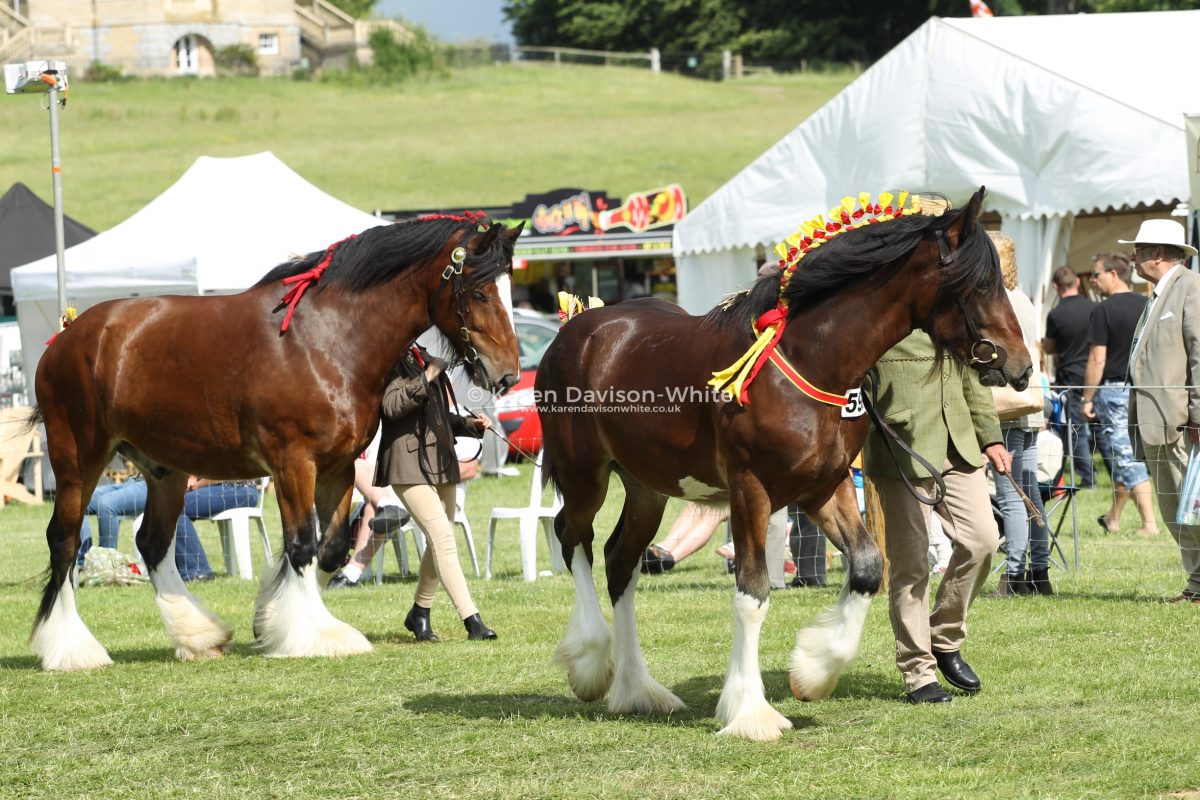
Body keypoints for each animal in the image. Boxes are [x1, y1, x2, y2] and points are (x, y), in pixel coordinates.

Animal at [29, 214, 524, 671]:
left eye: (509, 289)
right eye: (479, 293)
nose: (507, 374)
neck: (327, 338)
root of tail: (68, 336)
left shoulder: (339, 467)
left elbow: (332, 548)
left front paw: (270, 618)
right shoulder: (293, 463)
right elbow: (302, 544)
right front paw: (311, 635)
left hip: (164, 469)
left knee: (152, 543)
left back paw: (197, 636)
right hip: (79, 461)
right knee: (65, 541)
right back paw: (73, 649)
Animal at [536, 187, 1032, 740]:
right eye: (982, 283)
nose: (1020, 366)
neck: (807, 358)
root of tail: (576, 328)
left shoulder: (825, 487)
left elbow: (867, 567)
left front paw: (813, 671)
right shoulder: (750, 490)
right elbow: (752, 593)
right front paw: (751, 712)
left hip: (648, 486)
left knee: (620, 560)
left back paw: (637, 690)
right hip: (585, 475)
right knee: (571, 535)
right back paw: (590, 660)